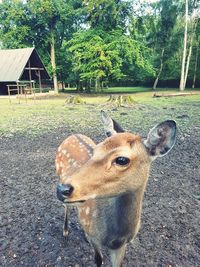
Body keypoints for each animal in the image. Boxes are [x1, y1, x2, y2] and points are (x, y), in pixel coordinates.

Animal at [55, 110, 176, 266]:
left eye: (122, 160)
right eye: (95, 150)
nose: (62, 189)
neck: (116, 234)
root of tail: (72, 135)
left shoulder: (121, 245)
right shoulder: (96, 240)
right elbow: (98, 260)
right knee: (66, 207)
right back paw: (65, 231)